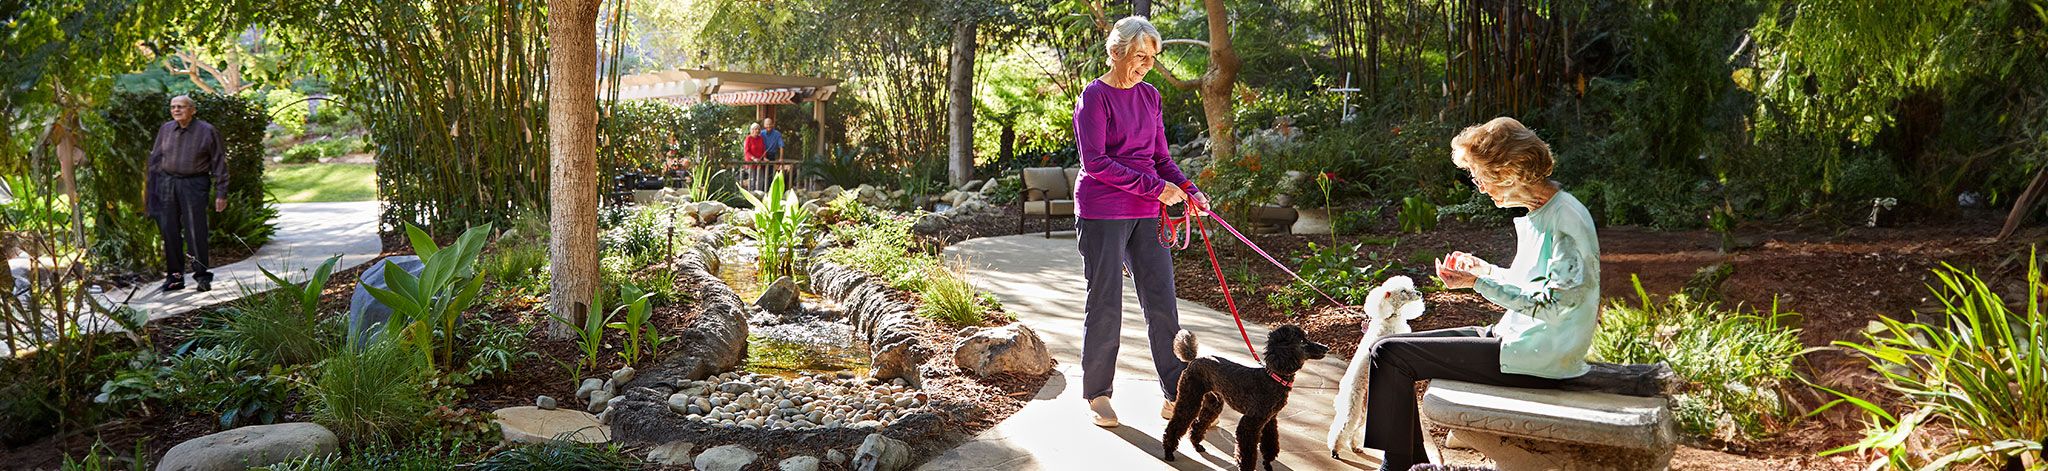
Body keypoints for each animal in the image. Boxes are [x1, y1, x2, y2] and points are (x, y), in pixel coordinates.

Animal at [1327, 274, 1425, 458]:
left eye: (1411, 286)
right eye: (1403, 291)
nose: (1418, 293)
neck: (1389, 318)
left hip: (1366, 408)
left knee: (1356, 428)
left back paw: (1354, 446)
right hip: (1354, 404)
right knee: (1344, 426)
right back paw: (1335, 448)